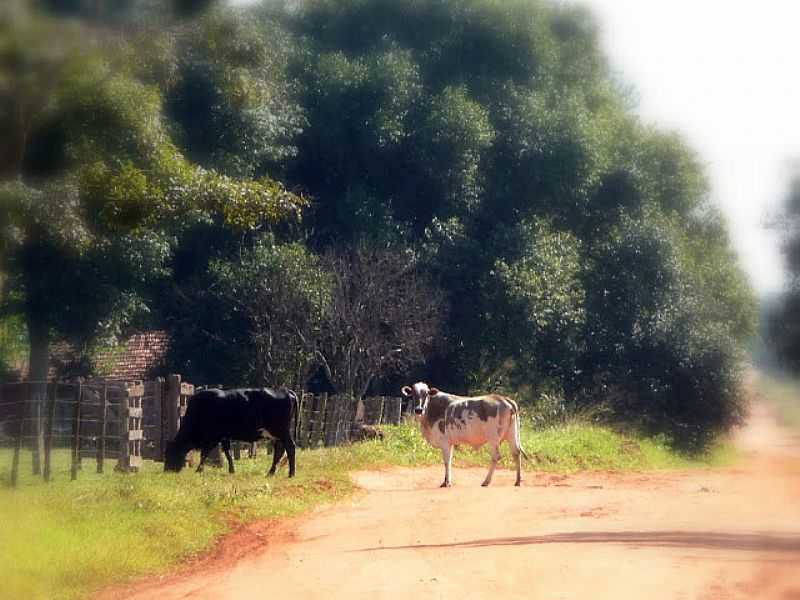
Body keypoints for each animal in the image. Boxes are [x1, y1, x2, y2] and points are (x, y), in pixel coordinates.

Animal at [164, 390, 298, 478]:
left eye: (170, 453)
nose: (167, 470)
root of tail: (286, 392)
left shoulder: (214, 437)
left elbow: (205, 453)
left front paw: (199, 470)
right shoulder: (224, 436)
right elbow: (228, 453)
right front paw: (232, 470)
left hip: (281, 431)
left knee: (290, 447)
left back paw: (291, 473)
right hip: (278, 434)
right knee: (280, 450)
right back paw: (271, 472)